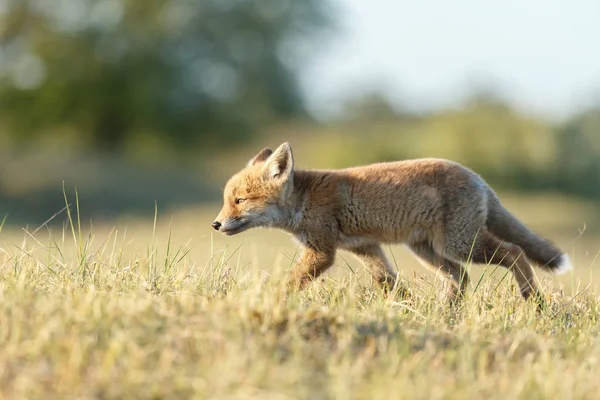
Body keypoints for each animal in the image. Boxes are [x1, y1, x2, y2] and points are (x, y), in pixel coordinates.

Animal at [211, 142, 572, 302]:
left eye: (239, 201)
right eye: (228, 200)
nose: (215, 225)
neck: (304, 200)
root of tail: (479, 178)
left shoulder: (323, 252)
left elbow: (290, 281)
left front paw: (266, 298)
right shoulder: (366, 247)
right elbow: (389, 282)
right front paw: (407, 309)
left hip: (461, 244)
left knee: (515, 252)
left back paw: (534, 300)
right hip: (429, 250)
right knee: (462, 276)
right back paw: (447, 314)